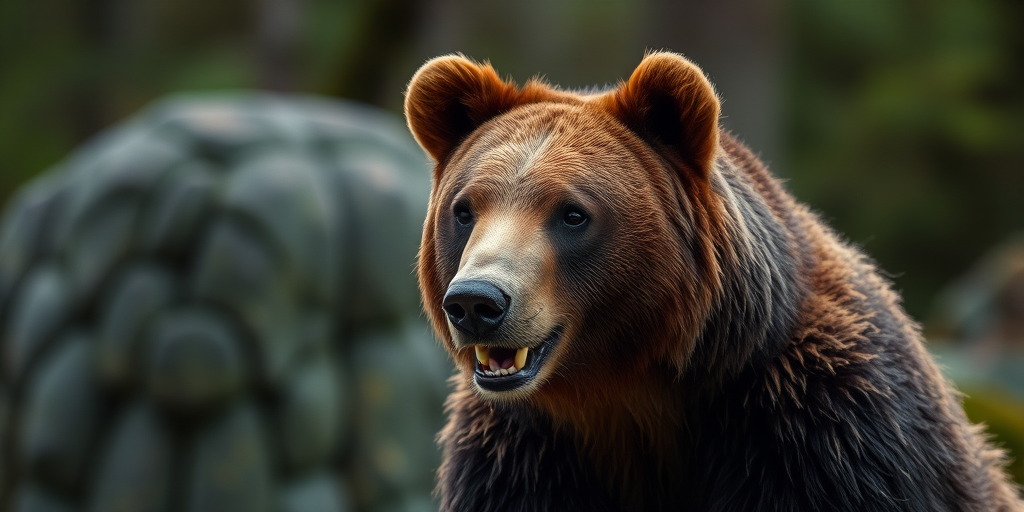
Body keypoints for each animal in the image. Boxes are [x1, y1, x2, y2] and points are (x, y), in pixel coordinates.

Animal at [403, 52, 1024, 512]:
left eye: (572, 213)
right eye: (465, 209)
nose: (477, 302)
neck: (628, 392)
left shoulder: (824, 431)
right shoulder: (517, 456)